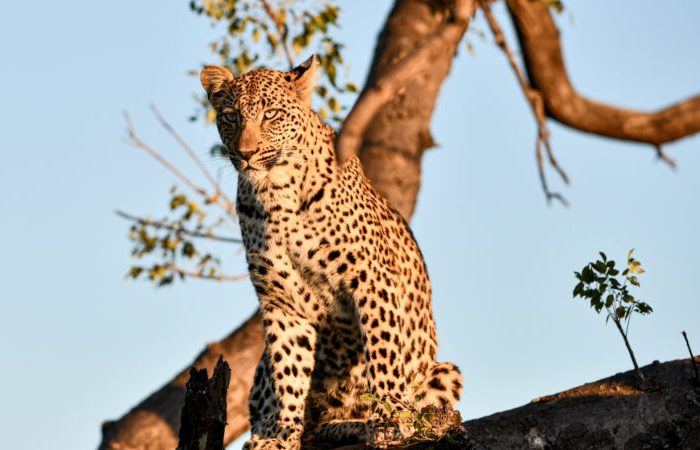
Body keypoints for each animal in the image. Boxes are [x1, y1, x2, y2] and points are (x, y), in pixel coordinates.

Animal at [200, 56, 462, 450]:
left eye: (271, 114)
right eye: (231, 116)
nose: (246, 154)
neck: (276, 194)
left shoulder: (371, 281)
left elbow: (383, 353)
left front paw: (391, 416)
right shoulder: (281, 302)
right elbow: (288, 372)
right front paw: (282, 435)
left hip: (445, 371)